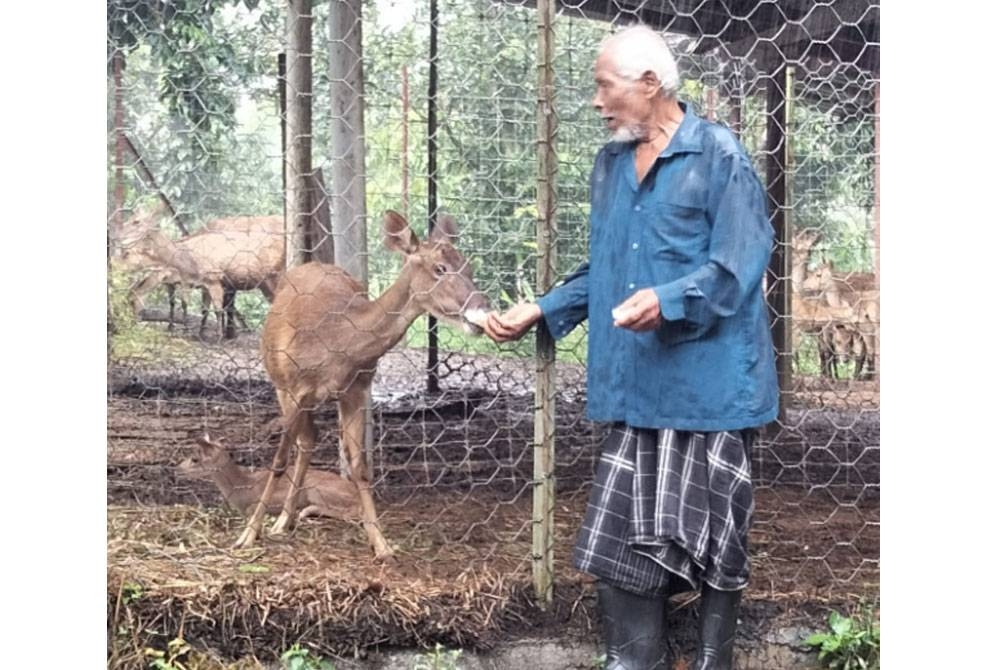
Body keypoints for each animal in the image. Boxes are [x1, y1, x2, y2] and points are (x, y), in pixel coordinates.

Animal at [178, 436, 362, 524]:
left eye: (195, 459)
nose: (178, 469)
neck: (244, 487)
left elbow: (252, 509)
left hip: (315, 489)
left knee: (353, 512)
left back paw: (304, 512)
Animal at [231, 211, 488, 560]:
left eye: (469, 267)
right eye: (440, 268)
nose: (481, 312)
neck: (339, 343)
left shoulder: (355, 389)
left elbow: (360, 466)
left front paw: (381, 542)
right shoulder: (295, 388)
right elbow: (279, 460)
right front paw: (247, 534)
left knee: (310, 439)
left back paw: (287, 518)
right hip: (279, 382)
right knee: (303, 441)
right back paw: (279, 520)